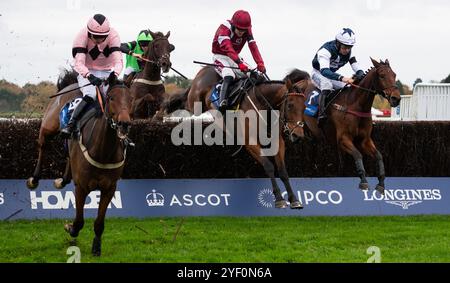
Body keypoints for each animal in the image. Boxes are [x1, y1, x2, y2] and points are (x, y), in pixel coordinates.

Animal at [63, 76, 133, 256]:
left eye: (131, 99)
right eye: (111, 98)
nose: (124, 123)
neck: (103, 151)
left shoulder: (109, 188)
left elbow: (99, 222)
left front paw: (96, 247)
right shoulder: (81, 187)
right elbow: (79, 221)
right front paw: (70, 228)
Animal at [162, 66, 306, 209]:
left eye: (304, 107)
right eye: (290, 105)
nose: (298, 135)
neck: (261, 104)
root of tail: (204, 69)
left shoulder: (278, 141)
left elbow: (283, 171)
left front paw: (294, 199)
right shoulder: (250, 141)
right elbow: (269, 166)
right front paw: (279, 199)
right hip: (195, 104)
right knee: (183, 101)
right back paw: (165, 109)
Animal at [298, 58, 400, 194]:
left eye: (394, 75)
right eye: (382, 75)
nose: (396, 98)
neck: (354, 105)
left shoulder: (364, 140)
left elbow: (379, 156)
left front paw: (381, 184)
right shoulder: (343, 139)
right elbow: (358, 155)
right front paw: (363, 181)